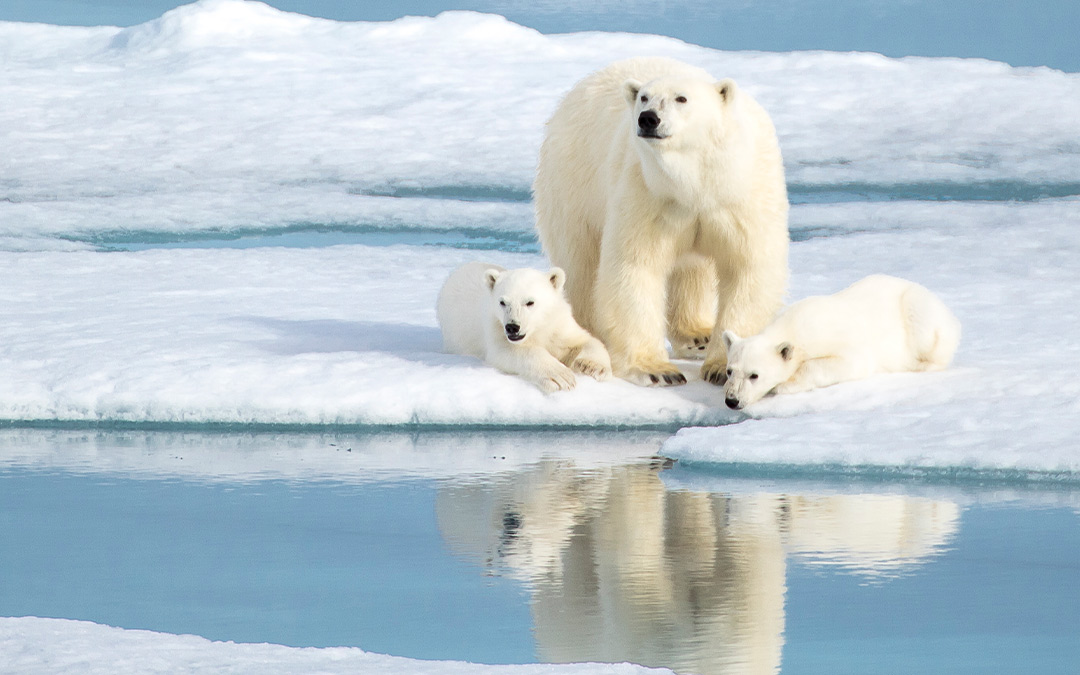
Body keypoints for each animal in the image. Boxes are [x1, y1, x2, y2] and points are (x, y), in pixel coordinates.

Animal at [436, 262, 609, 393]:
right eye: (502, 302)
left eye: (530, 302)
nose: (512, 327)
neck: (538, 329)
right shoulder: (496, 328)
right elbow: (511, 351)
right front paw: (560, 377)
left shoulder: (558, 325)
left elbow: (585, 340)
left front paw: (592, 366)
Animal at [535, 57, 790, 386]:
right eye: (644, 97)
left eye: (682, 98)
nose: (648, 119)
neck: (696, 182)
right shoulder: (648, 192)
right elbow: (635, 266)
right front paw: (657, 370)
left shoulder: (740, 198)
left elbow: (746, 268)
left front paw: (722, 367)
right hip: (573, 182)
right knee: (581, 264)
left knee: (692, 271)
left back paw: (697, 335)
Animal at [717, 275, 963, 410]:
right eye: (730, 371)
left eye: (754, 375)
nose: (732, 400)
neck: (794, 325)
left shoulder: (836, 339)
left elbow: (848, 363)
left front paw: (785, 384)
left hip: (917, 308)